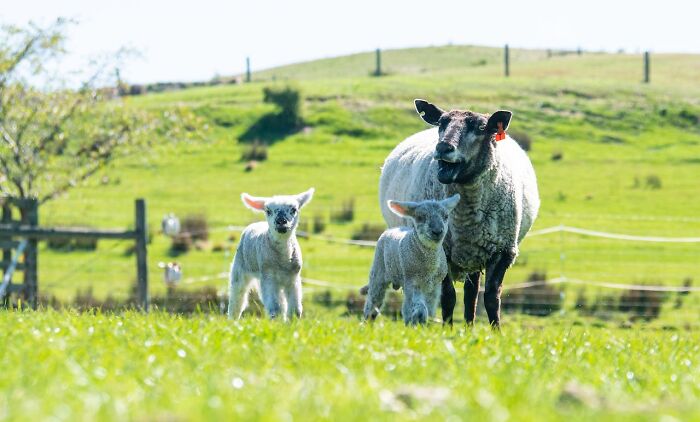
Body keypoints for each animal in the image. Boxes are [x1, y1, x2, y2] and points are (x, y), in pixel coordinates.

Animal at [228, 188, 314, 321]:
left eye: (294, 209)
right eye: (268, 211)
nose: (281, 222)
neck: (283, 260)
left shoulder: (294, 278)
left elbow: (295, 309)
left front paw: (292, 322)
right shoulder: (268, 277)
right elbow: (275, 308)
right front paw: (277, 321)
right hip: (240, 267)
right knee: (237, 298)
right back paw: (233, 320)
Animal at [363, 194, 460, 325]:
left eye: (446, 216)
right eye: (420, 217)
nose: (437, 231)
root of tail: (392, 228)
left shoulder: (435, 286)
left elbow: (429, 310)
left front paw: (425, 325)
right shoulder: (412, 282)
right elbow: (419, 308)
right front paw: (417, 322)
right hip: (378, 272)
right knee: (373, 303)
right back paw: (367, 323)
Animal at [378, 99, 540, 327]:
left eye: (481, 128)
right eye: (441, 123)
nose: (443, 148)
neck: (467, 217)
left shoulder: (502, 251)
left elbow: (491, 297)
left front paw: (496, 331)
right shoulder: (442, 250)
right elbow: (448, 297)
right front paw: (448, 328)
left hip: (476, 253)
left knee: (471, 294)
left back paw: (469, 328)